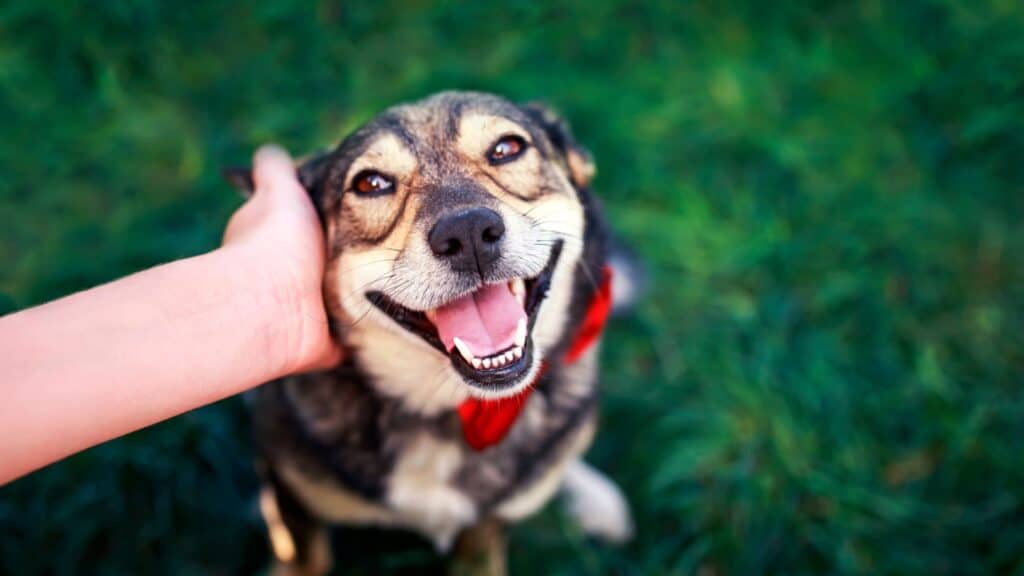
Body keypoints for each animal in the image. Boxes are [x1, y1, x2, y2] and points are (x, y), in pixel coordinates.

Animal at [228, 90, 634, 573]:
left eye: (507, 148)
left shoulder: (485, 530)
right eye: (370, 183)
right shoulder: (296, 503)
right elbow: (300, 553)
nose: (468, 232)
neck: (443, 408)